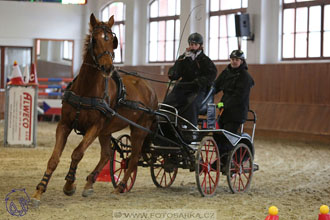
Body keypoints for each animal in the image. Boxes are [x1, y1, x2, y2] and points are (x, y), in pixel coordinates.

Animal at [31, 13, 158, 206]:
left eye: (112, 40)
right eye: (95, 40)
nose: (108, 67)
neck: (86, 90)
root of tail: (150, 88)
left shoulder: (95, 127)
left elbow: (77, 153)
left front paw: (69, 185)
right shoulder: (64, 124)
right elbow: (54, 158)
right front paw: (39, 190)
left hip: (138, 130)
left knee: (133, 159)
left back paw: (119, 188)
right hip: (107, 130)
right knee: (107, 154)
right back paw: (90, 183)